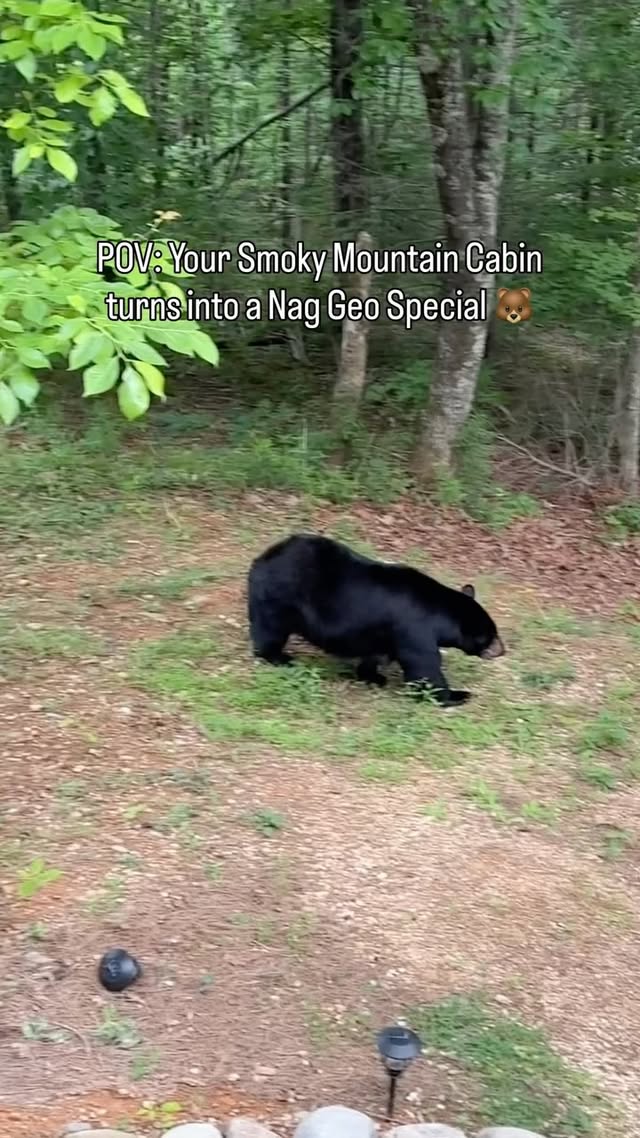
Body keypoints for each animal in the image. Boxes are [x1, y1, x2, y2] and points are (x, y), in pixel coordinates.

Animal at [247, 533, 505, 707]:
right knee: (271, 630)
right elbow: (424, 666)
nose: (502, 650)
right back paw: (279, 657)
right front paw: (458, 694)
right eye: (491, 635)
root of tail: (262, 558)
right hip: (280, 596)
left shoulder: (383, 632)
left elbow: (376, 654)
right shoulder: (416, 628)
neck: (439, 615)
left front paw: (373, 676)